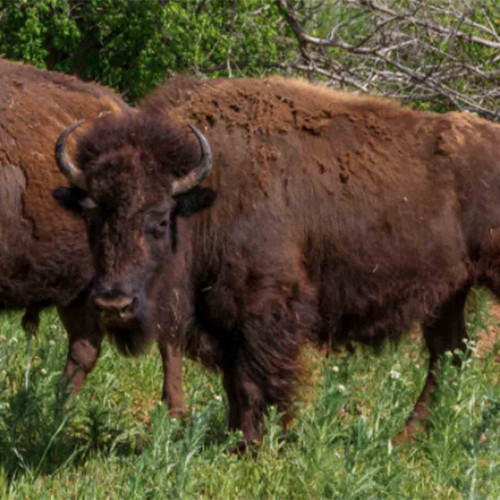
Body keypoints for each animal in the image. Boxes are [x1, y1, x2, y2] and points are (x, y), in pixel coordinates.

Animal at [54, 76, 500, 448]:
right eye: (92, 214)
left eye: (161, 219)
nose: (114, 304)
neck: (209, 193)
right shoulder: (221, 320)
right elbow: (234, 382)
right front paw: (234, 441)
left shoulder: (264, 308)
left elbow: (255, 380)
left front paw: (255, 446)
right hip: (447, 295)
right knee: (448, 354)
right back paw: (407, 437)